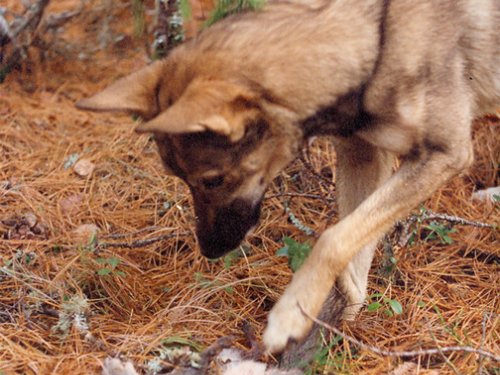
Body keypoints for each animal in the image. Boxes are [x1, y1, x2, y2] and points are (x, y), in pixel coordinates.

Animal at [76, 0, 498, 356]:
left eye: (211, 180)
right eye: (178, 177)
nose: (208, 249)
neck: (375, 39)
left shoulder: (445, 155)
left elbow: (332, 238)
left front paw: (290, 313)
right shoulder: (363, 155)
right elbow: (354, 248)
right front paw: (340, 316)